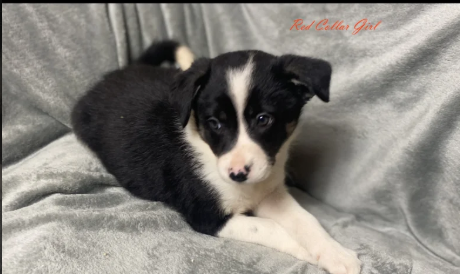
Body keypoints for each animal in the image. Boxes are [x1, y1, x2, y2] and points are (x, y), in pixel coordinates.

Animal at [70, 39, 362, 274]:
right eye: (215, 123)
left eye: (263, 119)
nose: (238, 174)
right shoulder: (207, 216)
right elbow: (269, 227)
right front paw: (309, 252)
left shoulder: (270, 192)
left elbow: (306, 220)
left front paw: (335, 253)